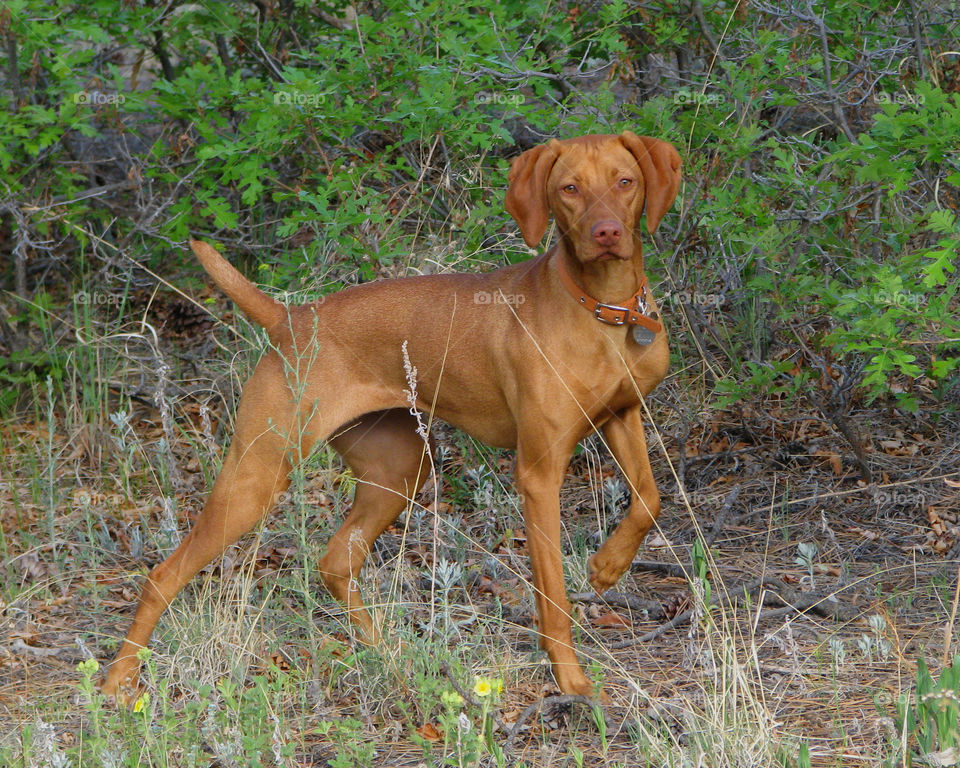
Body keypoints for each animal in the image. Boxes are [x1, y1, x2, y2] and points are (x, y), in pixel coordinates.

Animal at [103, 130, 684, 704]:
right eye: (569, 188)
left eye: (625, 181)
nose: (607, 233)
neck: (605, 312)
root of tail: (289, 320)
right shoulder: (539, 471)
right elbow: (554, 594)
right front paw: (573, 682)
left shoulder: (623, 416)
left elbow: (650, 499)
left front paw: (608, 566)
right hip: (258, 474)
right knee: (162, 575)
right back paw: (116, 683)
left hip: (398, 469)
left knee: (336, 563)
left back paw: (392, 656)